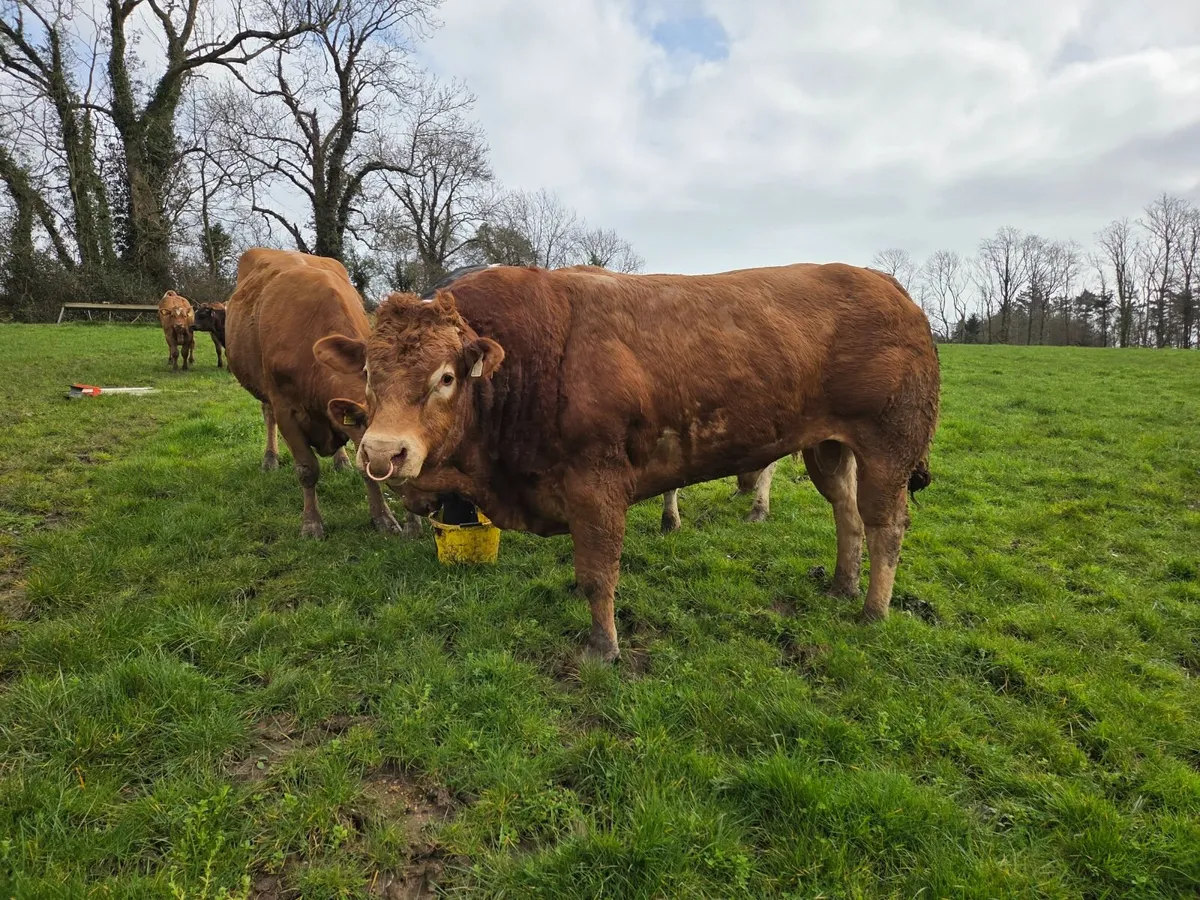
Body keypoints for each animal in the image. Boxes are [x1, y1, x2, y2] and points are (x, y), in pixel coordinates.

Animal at [224, 247, 420, 539]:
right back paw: (270, 459)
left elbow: (365, 472)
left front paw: (384, 518)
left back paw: (341, 460)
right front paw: (311, 523)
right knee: (267, 414)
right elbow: (307, 469)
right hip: (263, 387)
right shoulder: (286, 410)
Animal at [314, 263, 940, 661]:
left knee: (887, 524)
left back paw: (872, 611)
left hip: (890, 445)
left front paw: (603, 646)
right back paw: (840, 585)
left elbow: (599, 571)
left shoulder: (598, 485)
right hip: (828, 447)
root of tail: (890, 286)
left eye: (445, 377)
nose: (381, 452)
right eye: (368, 372)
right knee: (847, 513)